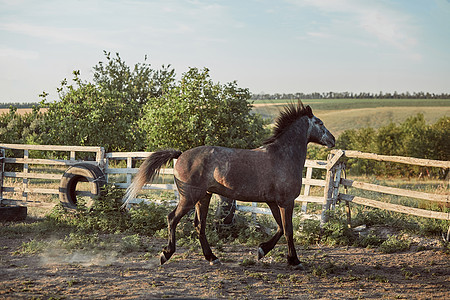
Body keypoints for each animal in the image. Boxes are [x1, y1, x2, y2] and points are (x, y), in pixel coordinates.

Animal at [123, 102, 334, 268]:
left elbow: (281, 228)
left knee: (199, 226)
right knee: (172, 219)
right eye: (320, 123)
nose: (333, 140)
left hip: (203, 197)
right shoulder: (286, 202)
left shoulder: (274, 202)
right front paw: (294, 260)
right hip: (189, 197)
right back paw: (165, 254)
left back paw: (212, 258)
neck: (282, 156)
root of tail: (181, 155)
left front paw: (262, 250)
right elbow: (288, 230)